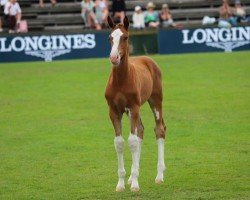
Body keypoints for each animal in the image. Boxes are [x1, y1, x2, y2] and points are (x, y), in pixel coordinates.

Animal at [104, 16, 167, 192]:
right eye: (110, 38)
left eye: (125, 37)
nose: (114, 58)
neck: (121, 80)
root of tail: (147, 59)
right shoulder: (114, 110)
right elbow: (119, 142)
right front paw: (121, 183)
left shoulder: (133, 107)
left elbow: (131, 141)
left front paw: (135, 185)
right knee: (140, 130)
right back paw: (132, 177)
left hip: (155, 100)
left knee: (159, 129)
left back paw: (159, 176)